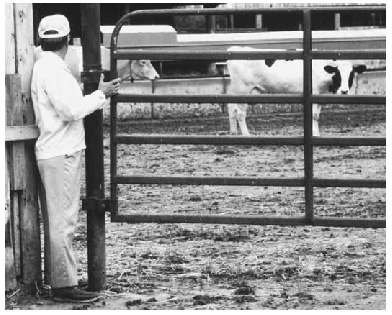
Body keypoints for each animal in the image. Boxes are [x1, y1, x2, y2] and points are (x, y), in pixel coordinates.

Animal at [227, 45, 368, 136]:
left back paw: (234, 132)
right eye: (337, 74)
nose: (344, 91)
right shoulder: (314, 92)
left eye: (351, 75)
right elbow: (314, 115)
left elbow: (317, 116)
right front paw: (315, 134)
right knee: (240, 113)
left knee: (231, 107)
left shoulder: (321, 95)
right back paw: (246, 134)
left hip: (236, 90)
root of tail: (235, 49)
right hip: (243, 89)